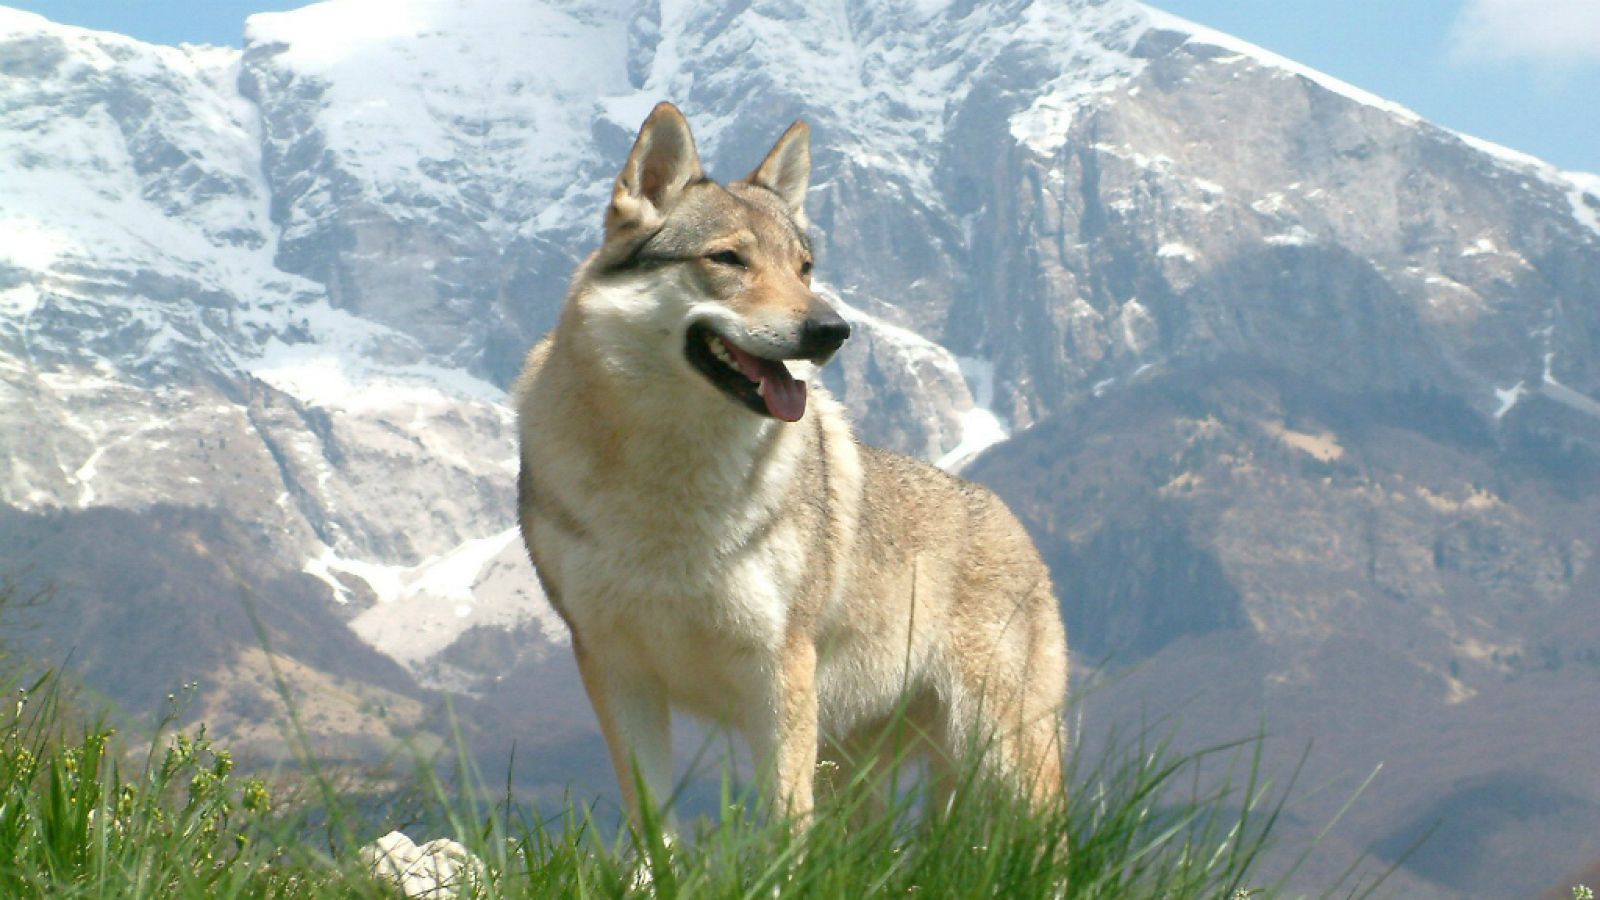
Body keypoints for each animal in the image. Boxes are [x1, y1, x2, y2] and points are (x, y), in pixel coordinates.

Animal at [514, 102, 1067, 830]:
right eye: (728, 258)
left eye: (804, 267)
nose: (833, 330)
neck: (670, 477)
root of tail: (1015, 523)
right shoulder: (616, 668)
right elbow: (654, 827)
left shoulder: (778, 669)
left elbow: (784, 826)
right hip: (862, 767)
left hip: (999, 758)